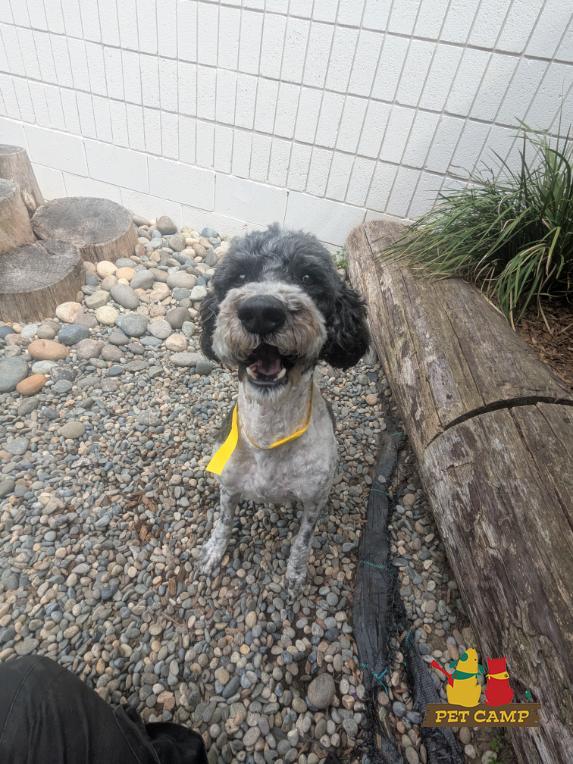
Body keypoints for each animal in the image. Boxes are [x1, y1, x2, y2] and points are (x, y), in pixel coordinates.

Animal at [199, 224, 369, 586]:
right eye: (240, 275)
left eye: (307, 276)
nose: (261, 311)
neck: (269, 433)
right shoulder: (228, 485)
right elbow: (224, 520)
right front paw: (214, 551)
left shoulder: (315, 498)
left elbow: (304, 538)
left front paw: (296, 571)